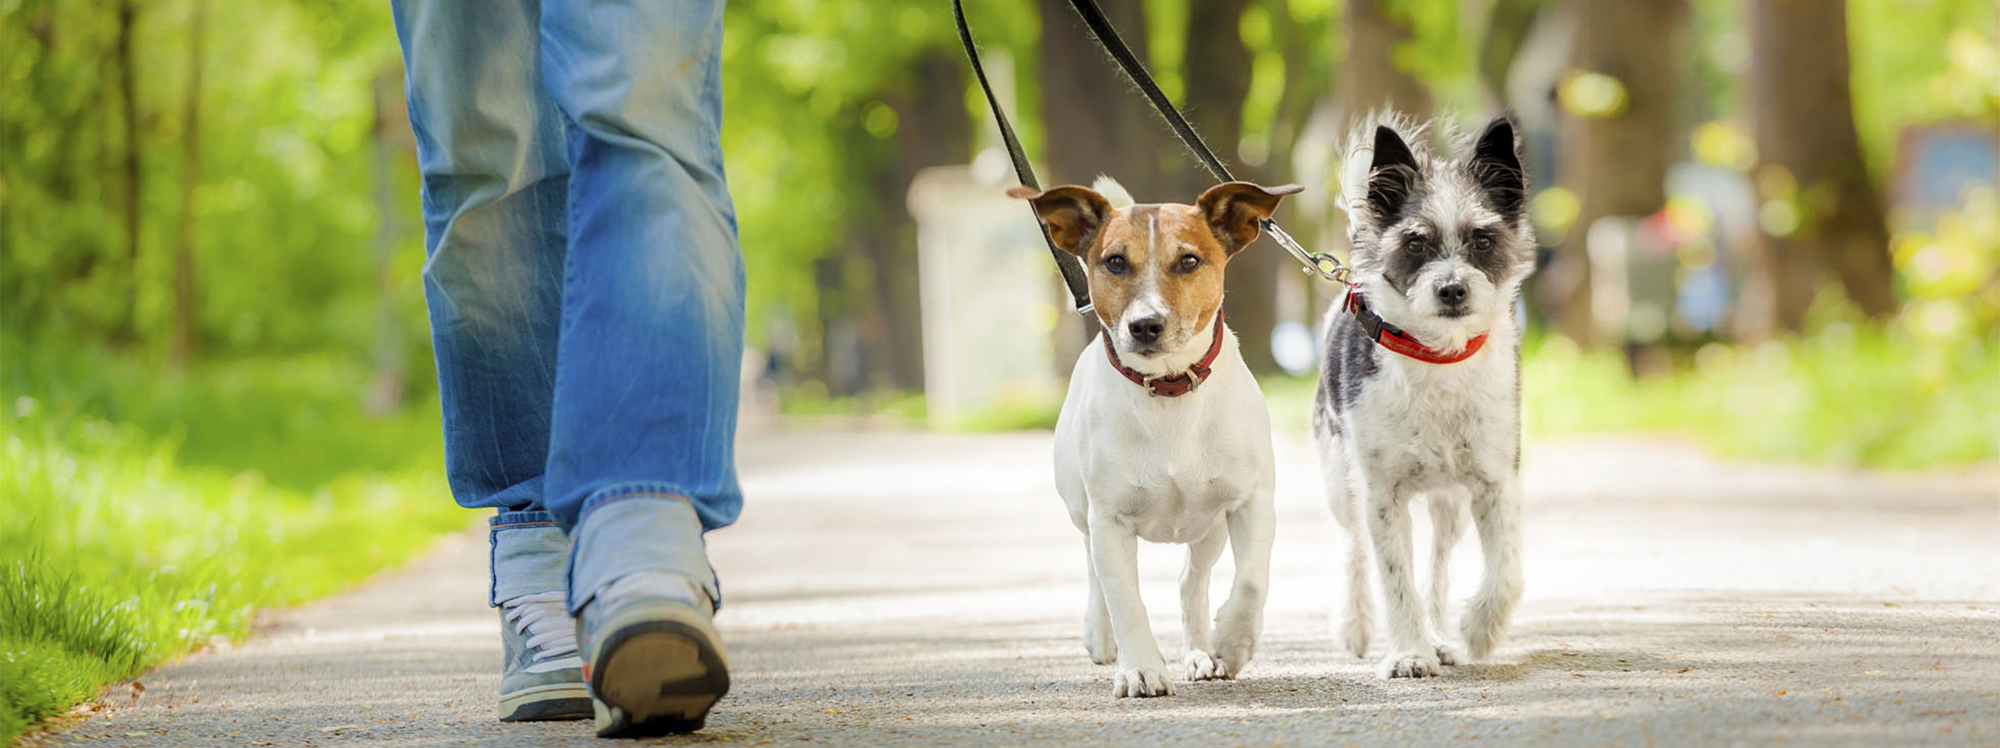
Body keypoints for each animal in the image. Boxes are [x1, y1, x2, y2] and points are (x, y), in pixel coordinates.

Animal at [1008, 178, 1304, 700]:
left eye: (1188, 260)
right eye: (1114, 262)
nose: (1145, 325)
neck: (1168, 390)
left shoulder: (1251, 502)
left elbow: (1251, 581)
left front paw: (1232, 642)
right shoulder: (1109, 519)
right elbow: (1125, 598)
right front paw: (1141, 669)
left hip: (1209, 528)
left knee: (1191, 581)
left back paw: (1202, 652)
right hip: (1082, 512)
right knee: (1094, 570)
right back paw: (1102, 636)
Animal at [1312, 114, 1528, 680]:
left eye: (1482, 239)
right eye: (1414, 243)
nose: (1452, 289)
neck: (1437, 358)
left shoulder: (1496, 482)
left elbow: (1507, 570)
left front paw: (1478, 630)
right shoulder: (1381, 494)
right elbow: (1394, 577)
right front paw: (1409, 652)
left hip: (1449, 504)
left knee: (1437, 564)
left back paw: (1440, 635)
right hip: (1339, 480)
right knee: (1354, 549)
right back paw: (1357, 625)